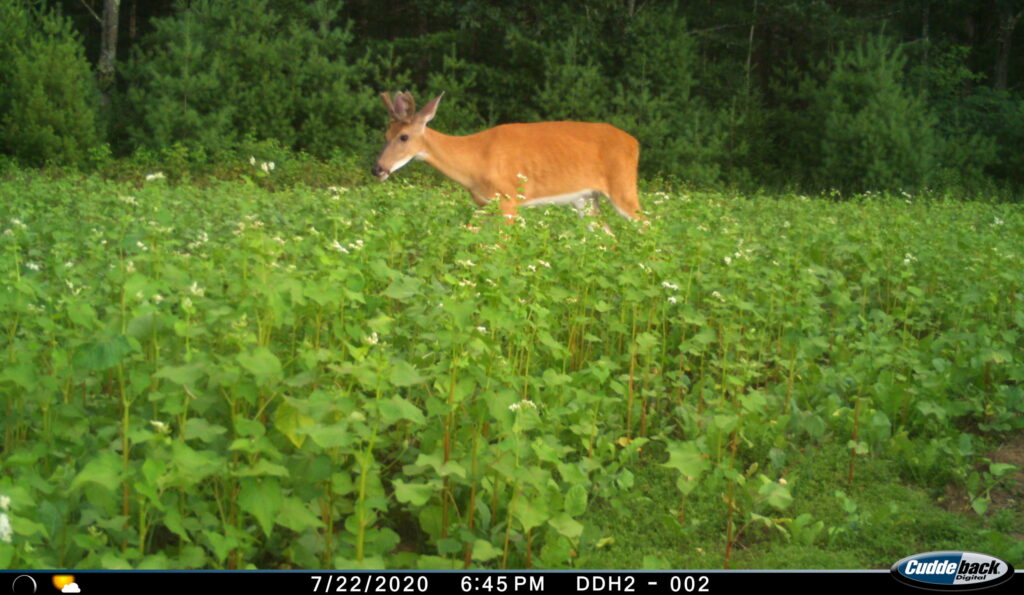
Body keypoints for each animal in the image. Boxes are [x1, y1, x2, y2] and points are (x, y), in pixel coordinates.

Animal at [372, 91, 644, 225]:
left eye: (404, 136)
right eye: (385, 134)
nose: (378, 169)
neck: (474, 161)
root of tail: (635, 142)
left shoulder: (508, 199)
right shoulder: (486, 204)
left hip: (623, 186)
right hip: (586, 199)